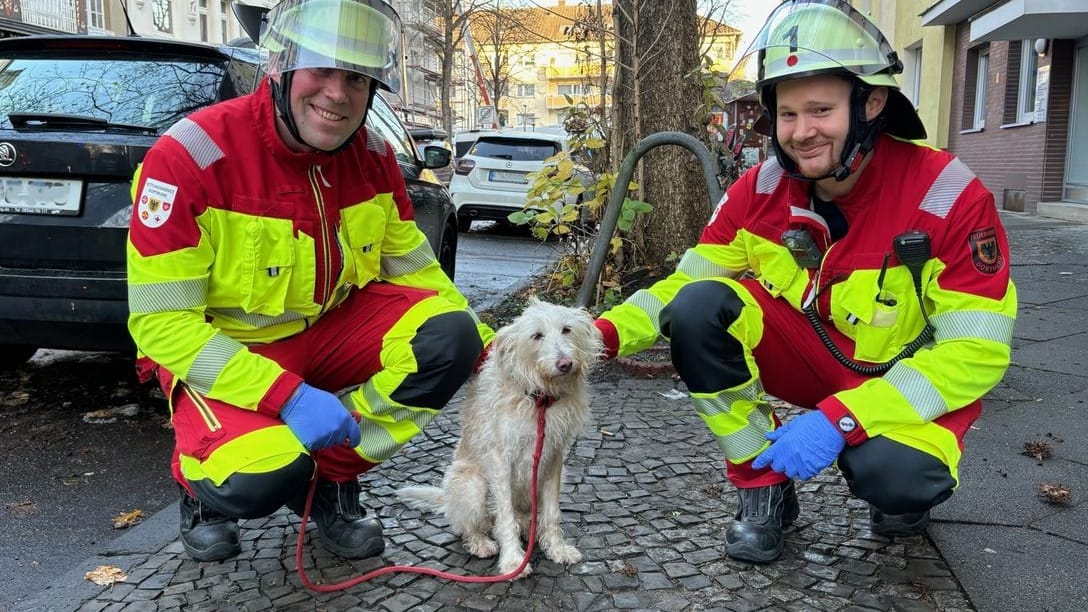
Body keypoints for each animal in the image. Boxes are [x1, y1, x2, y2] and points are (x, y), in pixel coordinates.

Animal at [398, 298, 604, 574]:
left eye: (567, 330)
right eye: (537, 335)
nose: (565, 364)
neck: (538, 400)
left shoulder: (553, 459)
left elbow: (552, 513)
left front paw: (557, 549)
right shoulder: (500, 461)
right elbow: (505, 517)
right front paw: (514, 561)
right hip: (472, 485)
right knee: (469, 526)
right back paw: (481, 542)